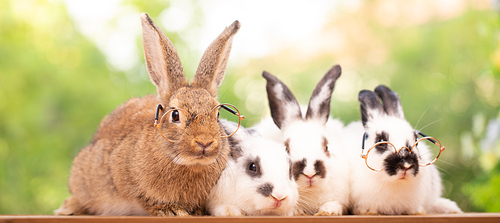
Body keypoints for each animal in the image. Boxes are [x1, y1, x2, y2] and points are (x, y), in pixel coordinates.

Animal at [254, 65, 348, 216]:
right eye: (286, 148)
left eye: (327, 147)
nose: (310, 173)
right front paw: (297, 212)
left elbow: (334, 204)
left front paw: (328, 211)